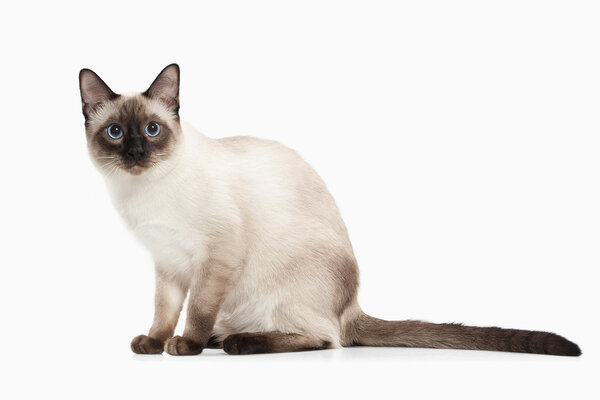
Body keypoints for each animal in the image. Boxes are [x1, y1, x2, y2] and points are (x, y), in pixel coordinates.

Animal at [77, 65, 580, 356]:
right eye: (117, 133)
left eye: (153, 130)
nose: (136, 153)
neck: (144, 192)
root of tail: (351, 305)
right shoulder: (167, 263)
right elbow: (163, 311)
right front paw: (154, 343)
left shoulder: (215, 255)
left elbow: (196, 310)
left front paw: (185, 345)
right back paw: (224, 339)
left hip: (279, 293)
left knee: (325, 338)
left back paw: (237, 342)